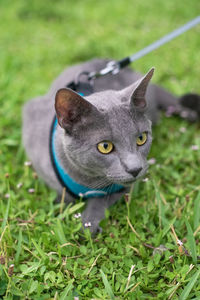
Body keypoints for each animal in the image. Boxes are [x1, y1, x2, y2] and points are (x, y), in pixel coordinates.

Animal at [22, 58, 199, 232]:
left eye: (141, 138)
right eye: (105, 146)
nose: (135, 169)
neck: (87, 181)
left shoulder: (120, 187)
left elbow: (102, 198)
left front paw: (88, 225)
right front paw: (60, 204)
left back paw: (189, 113)